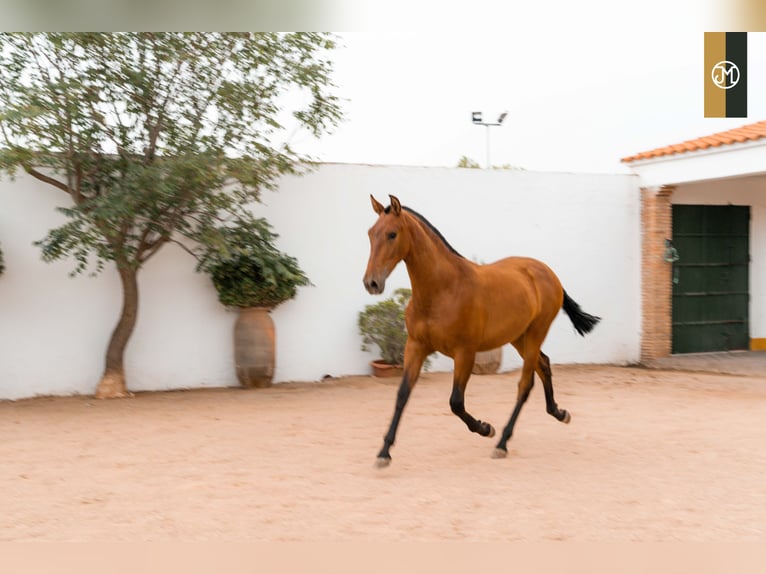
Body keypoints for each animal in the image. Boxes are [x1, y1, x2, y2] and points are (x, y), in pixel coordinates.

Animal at [364, 196, 604, 470]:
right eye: (371, 233)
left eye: (392, 234)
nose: (371, 283)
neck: (443, 290)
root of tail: (547, 272)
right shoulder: (416, 346)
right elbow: (402, 394)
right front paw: (384, 452)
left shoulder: (465, 352)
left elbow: (456, 402)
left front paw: (486, 428)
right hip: (518, 337)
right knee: (544, 364)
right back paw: (559, 413)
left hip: (535, 333)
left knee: (525, 383)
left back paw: (502, 443)